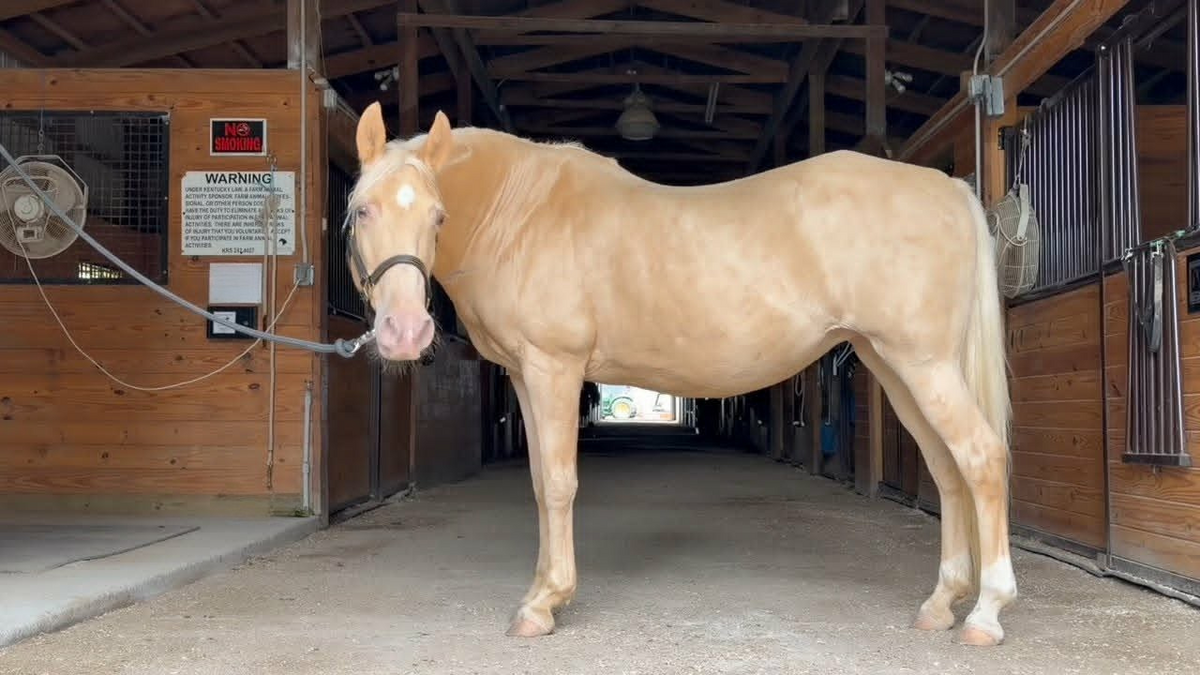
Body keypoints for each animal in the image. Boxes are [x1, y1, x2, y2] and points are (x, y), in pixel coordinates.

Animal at [342, 101, 1017, 647]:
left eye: (437, 216)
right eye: (362, 210)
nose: (405, 333)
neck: (523, 213)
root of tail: (948, 188)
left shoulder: (552, 367)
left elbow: (557, 485)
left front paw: (544, 604)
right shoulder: (525, 377)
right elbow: (537, 482)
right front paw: (540, 593)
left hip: (923, 363)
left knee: (981, 457)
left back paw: (986, 613)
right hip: (893, 363)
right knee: (947, 470)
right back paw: (941, 603)